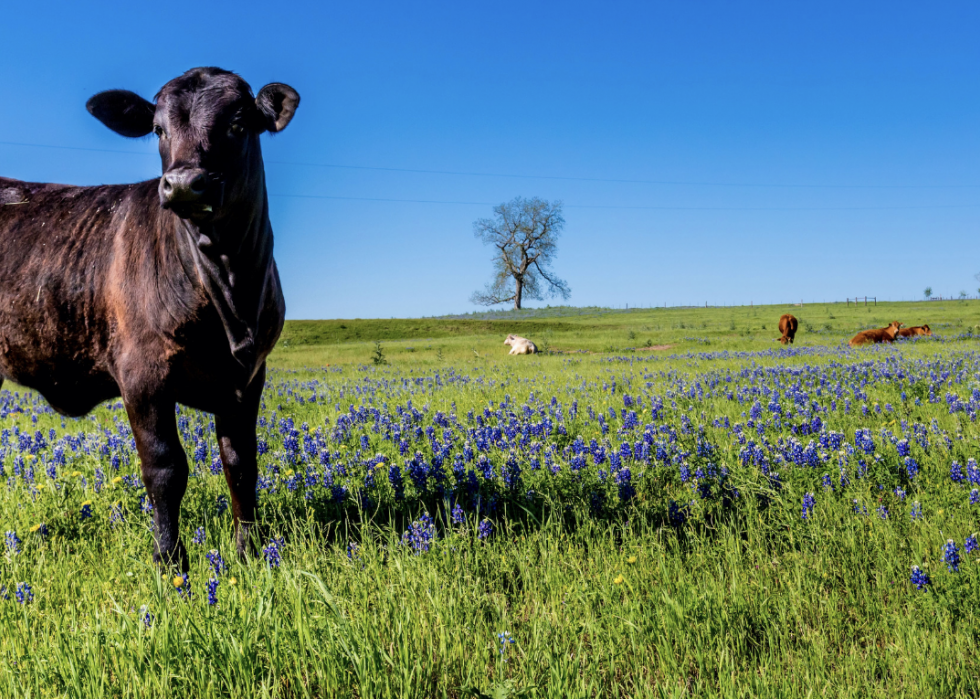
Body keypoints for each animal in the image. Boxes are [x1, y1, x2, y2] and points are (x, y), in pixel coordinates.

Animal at [0, 67, 298, 568]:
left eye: (239, 124)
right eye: (158, 130)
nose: (183, 183)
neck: (230, 288)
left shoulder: (249, 376)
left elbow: (241, 464)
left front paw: (249, 553)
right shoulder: (142, 374)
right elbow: (164, 468)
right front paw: (170, 562)